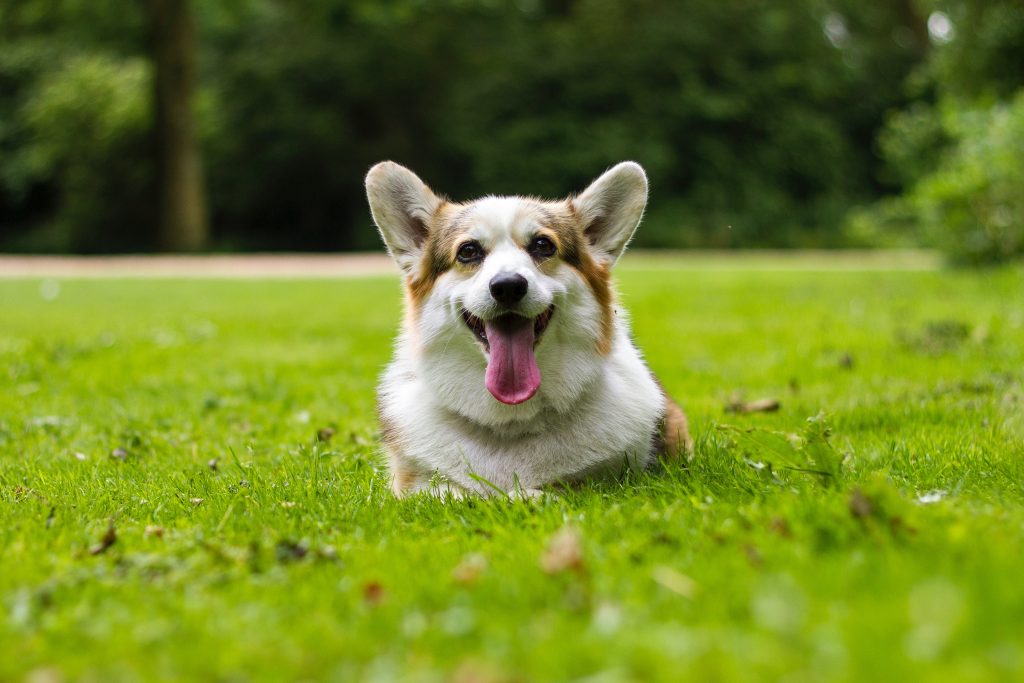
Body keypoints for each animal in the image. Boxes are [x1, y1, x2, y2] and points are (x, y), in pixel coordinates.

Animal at [364, 162, 692, 499]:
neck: (511, 421)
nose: (508, 286)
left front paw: (526, 496)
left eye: (543, 245)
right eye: (468, 251)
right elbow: (449, 493)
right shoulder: (414, 486)